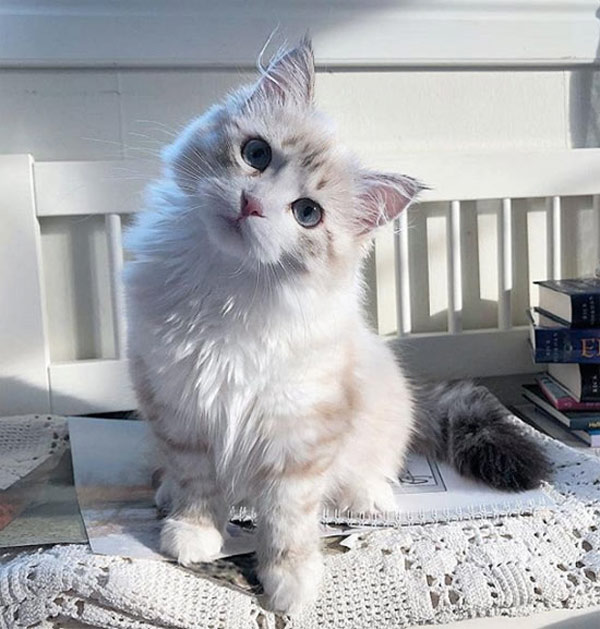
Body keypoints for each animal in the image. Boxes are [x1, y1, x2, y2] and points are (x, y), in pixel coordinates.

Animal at [125, 40, 548, 612]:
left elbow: (288, 516)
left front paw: (291, 580)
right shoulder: (180, 405)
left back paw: (369, 497)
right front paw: (192, 532)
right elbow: (197, 482)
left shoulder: (299, 430)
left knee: (371, 469)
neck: (231, 289)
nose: (251, 205)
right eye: (255, 154)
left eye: (307, 213)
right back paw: (166, 493)